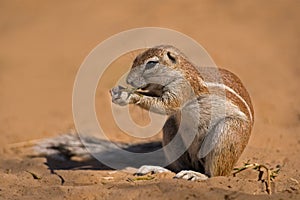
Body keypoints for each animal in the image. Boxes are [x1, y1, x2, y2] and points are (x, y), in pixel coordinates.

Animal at [110, 45, 253, 181]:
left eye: (151, 63)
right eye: (136, 58)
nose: (129, 81)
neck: (179, 70)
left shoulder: (181, 88)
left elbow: (166, 105)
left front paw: (129, 95)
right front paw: (118, 92)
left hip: (228, 132)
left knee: (216, 174)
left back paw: (195, 175)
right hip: (170, 129)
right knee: (178, 168)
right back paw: (157, 169)